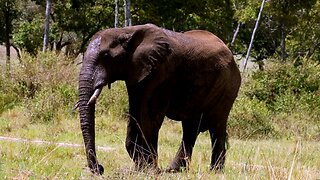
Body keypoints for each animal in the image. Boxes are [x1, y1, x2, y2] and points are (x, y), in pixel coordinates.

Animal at [79, 23, 241, 174]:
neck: (126, 31)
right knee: (191, 128)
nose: (100, 168)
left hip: (228, 87)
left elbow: (150, 118)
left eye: (106, 56)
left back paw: (215, 171)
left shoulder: (163, 72)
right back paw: (174, 170)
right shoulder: (136, 73)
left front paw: (149, 170)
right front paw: (139, 168)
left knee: (217, 126)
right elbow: (135, 116)